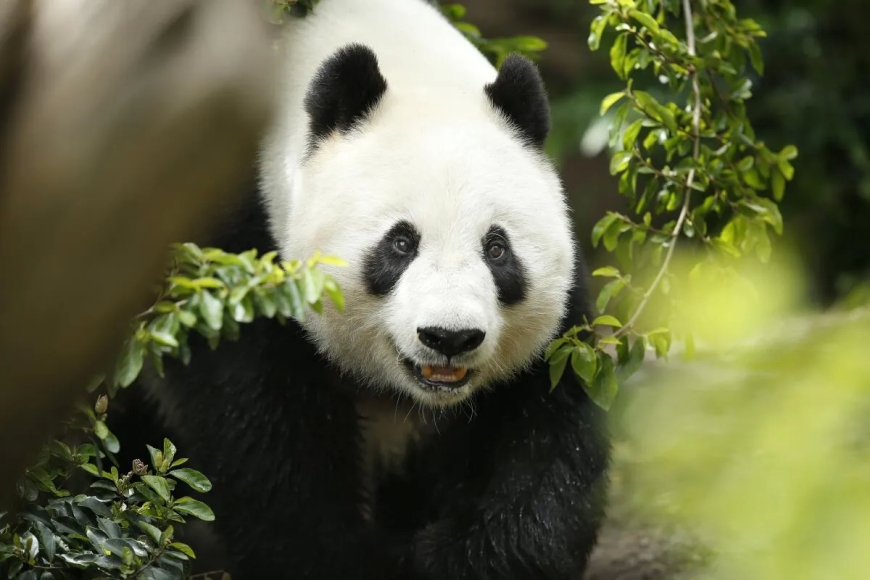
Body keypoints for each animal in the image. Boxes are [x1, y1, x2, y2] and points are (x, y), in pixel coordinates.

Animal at [119, 0, 610, 577]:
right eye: (400, 244)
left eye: (496, 249)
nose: (450, 337)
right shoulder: (235, 261)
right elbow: (268, 440)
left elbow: (552, 436)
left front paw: (448, 558)